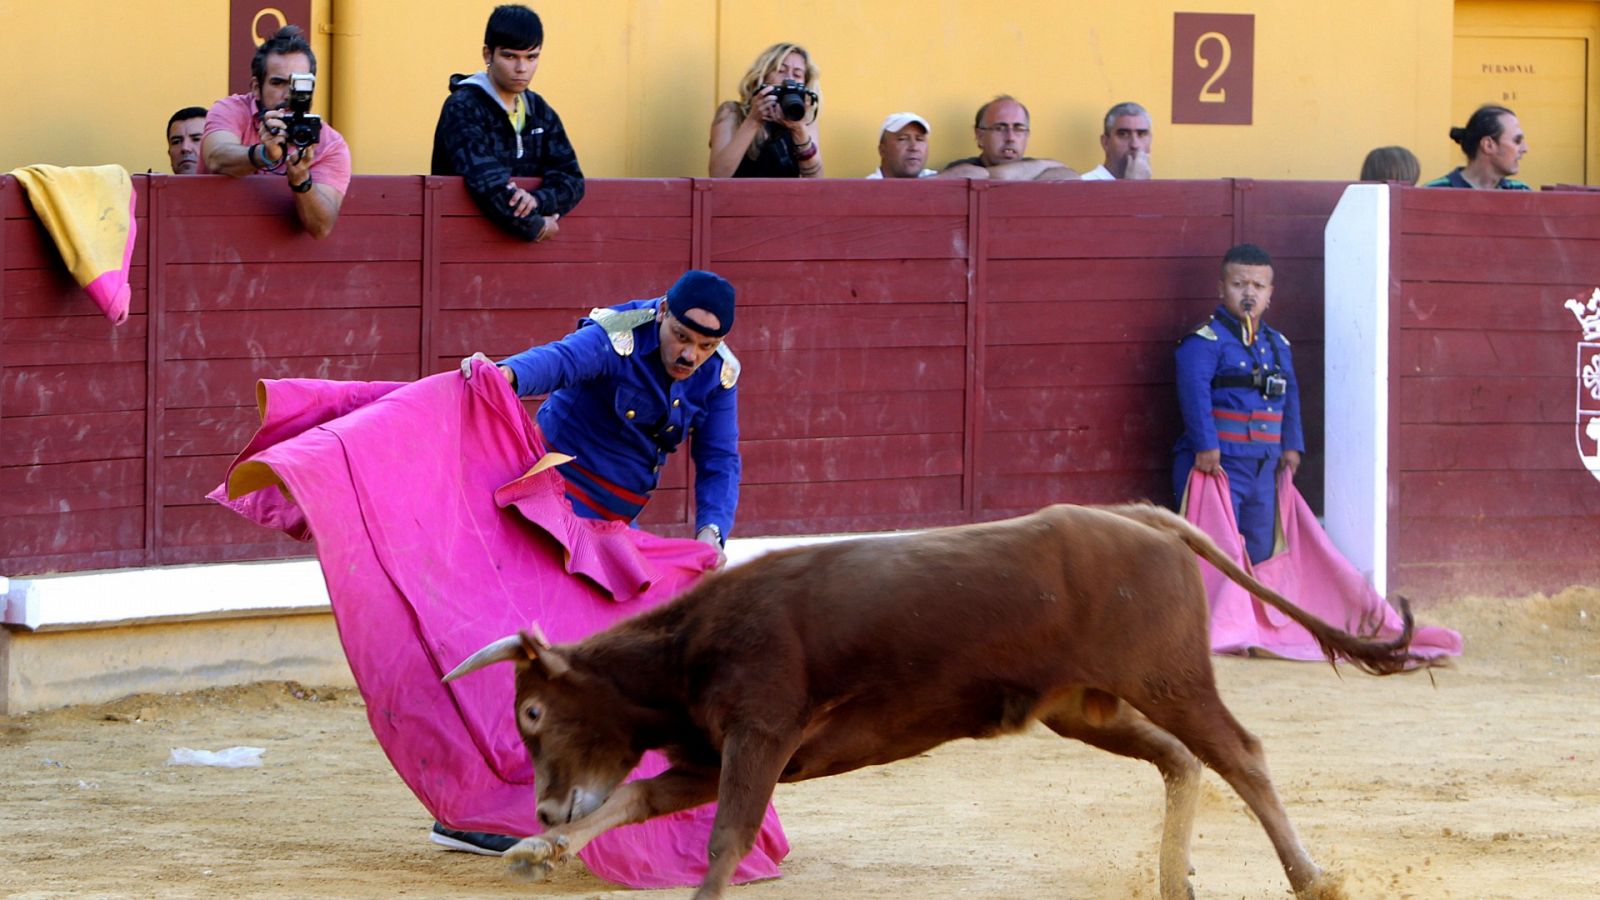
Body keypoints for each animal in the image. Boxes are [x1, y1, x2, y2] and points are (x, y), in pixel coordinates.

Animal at [441, 499, 1427, 890]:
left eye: (532, 714)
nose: (542, 804)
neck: (689, 648)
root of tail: (1139, 516)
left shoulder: (758, 738)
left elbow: (722, 840)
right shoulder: (710, 754)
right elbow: (638, 801)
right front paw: (535, 850)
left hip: (1170, 677)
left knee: (1241, 755)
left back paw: (1311, 879)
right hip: (1086, 707)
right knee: (1182, 759)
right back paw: (1172, 879)